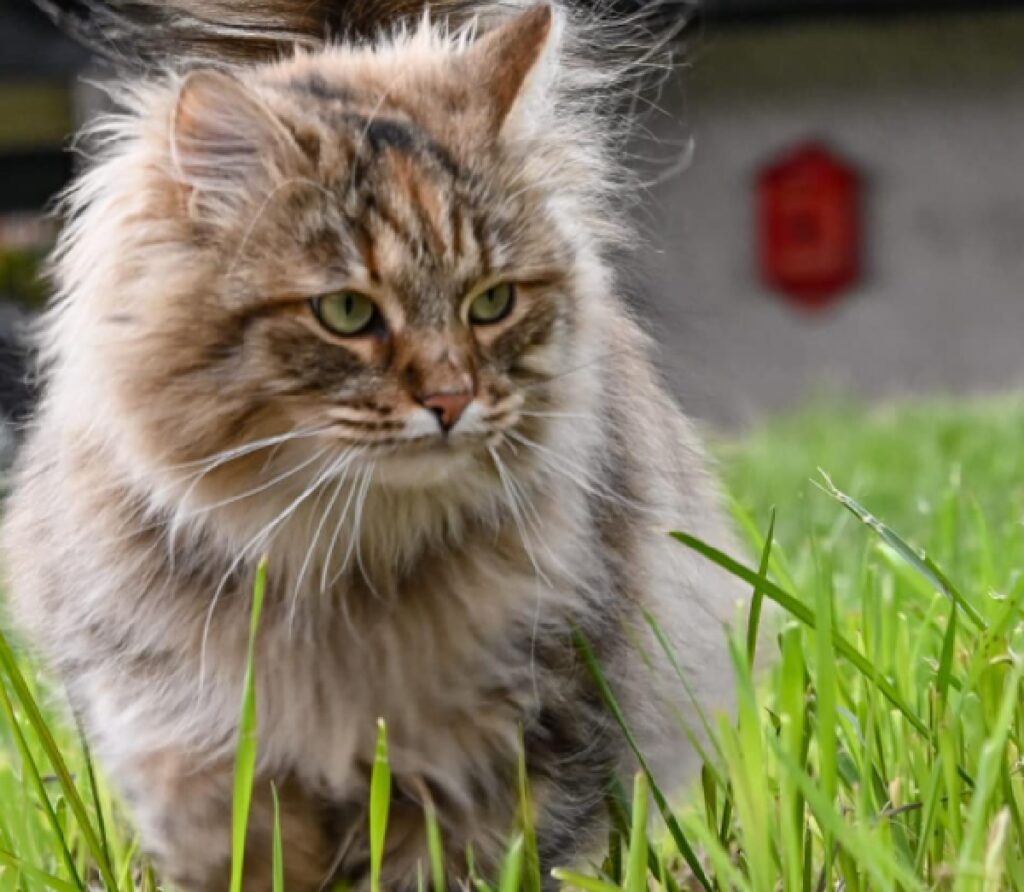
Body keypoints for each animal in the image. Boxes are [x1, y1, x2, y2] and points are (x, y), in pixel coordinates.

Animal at [4, 3, 749, 888]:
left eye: (491, 303)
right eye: (348, 313)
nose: (452, 400)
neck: (343, 564)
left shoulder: (512, 742)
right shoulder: (195, 751)